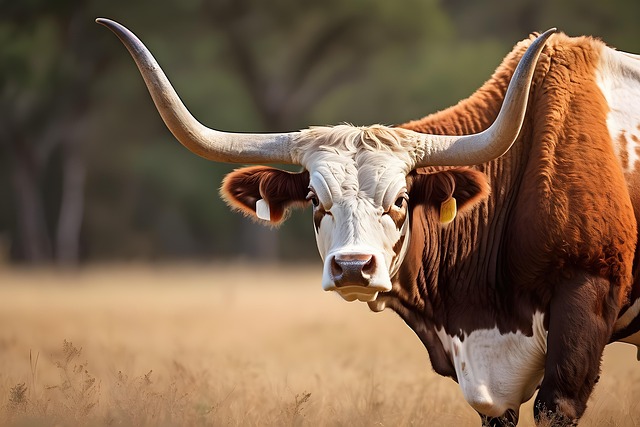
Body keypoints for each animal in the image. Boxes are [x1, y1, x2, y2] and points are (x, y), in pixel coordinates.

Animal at [97, 18, 640, 426]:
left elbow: (555, 404)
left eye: (400, 199)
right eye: (313, 197)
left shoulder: (583, 306)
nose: (353, 267)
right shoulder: (491, 384)